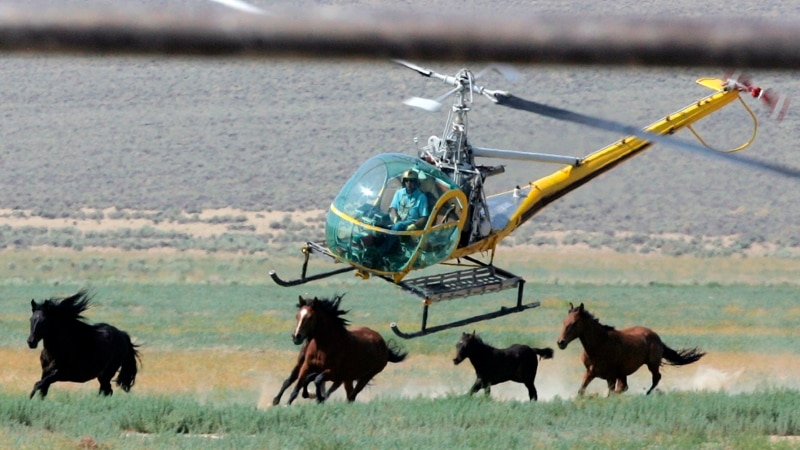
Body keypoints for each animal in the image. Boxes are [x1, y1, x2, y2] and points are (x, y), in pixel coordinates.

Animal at [556, 302, 705, 396]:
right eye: (564, 322)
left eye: (574, 323)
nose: (560, 342)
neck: (599, 345)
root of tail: (657, 338)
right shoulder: (591, 372)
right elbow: (581, 391)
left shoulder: (611, 376)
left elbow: (612, 392)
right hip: (624, 373)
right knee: (627, 386)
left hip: (652, 364)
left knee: (656, 378)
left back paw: (646, 393)